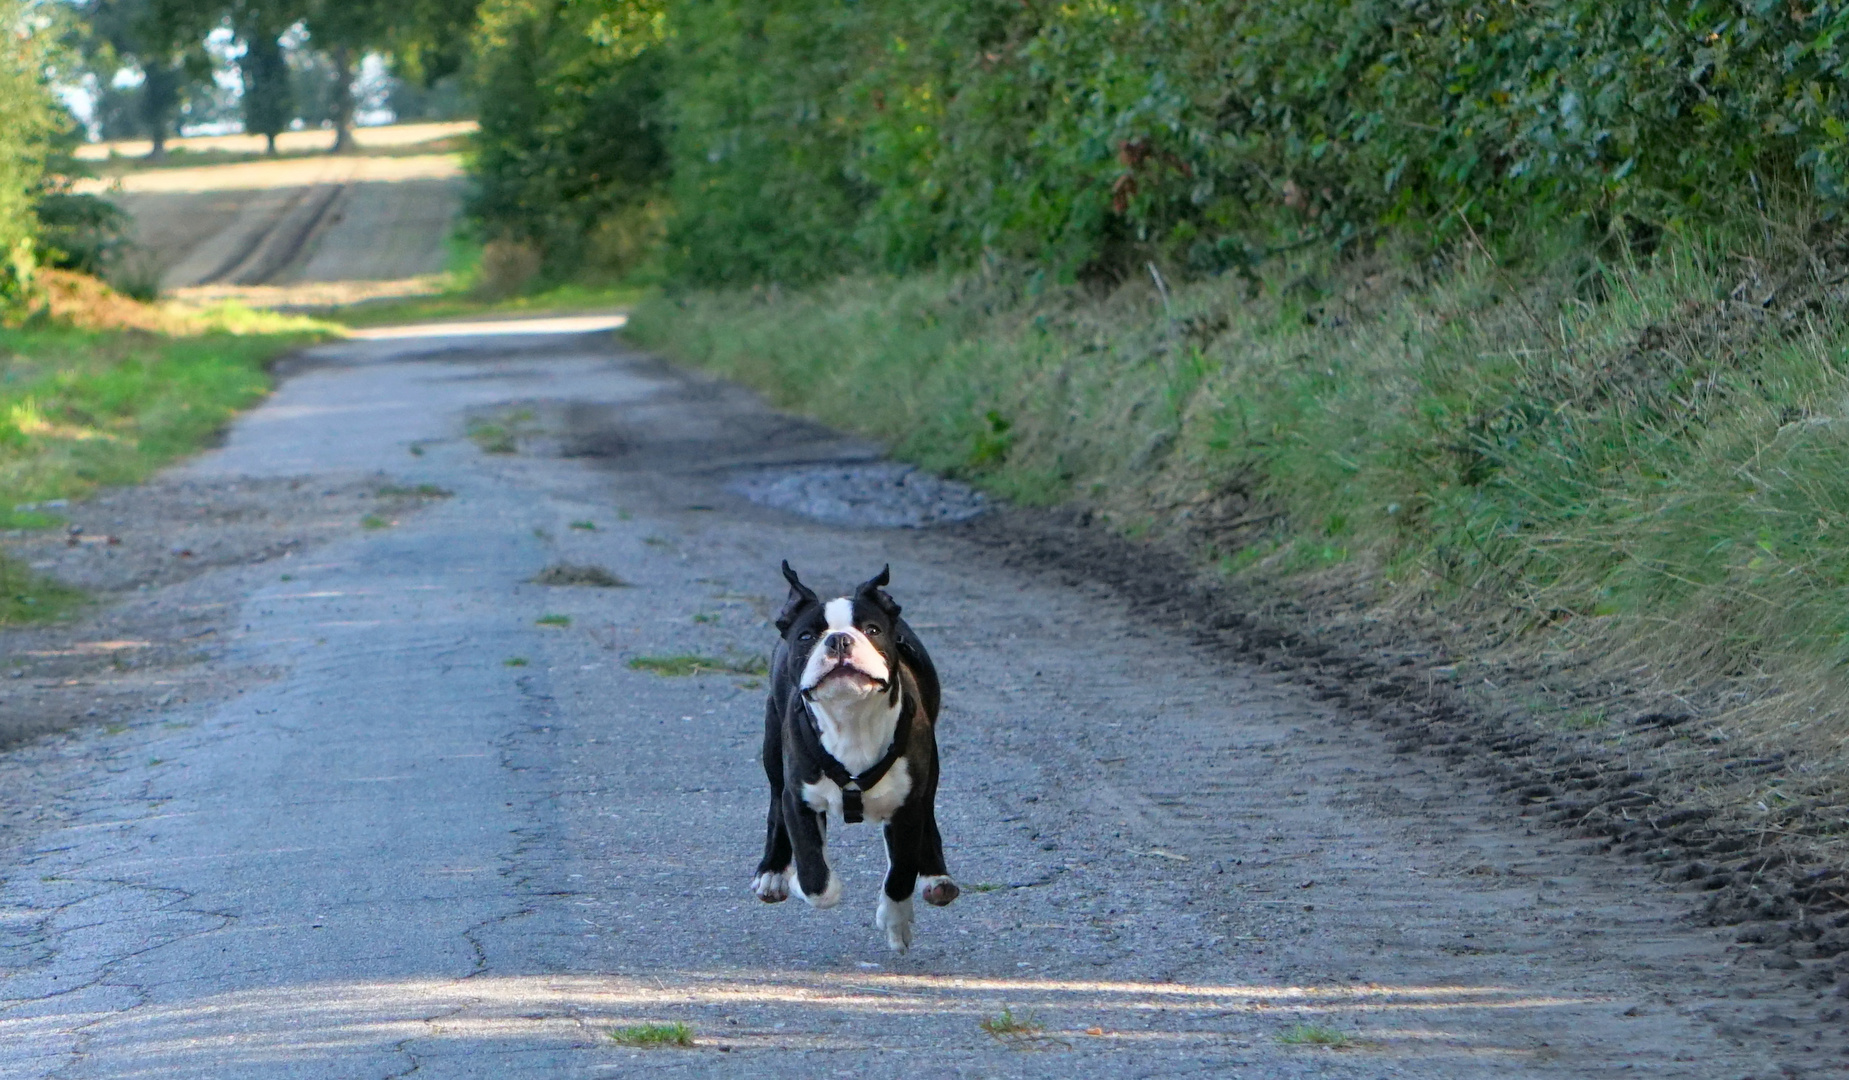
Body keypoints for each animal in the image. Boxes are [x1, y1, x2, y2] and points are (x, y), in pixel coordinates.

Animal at [750, 562, 961, 946]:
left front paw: (895, 920)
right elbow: (816, 881)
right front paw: (800, 882)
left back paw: (937, 878)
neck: (852, 719)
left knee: (929, 818)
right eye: (807, 636)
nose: (839, 639)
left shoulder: (907, 805)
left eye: (872, 630)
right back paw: (772, 872)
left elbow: (901, 872)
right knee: (774, 802)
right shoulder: (799, 799)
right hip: (772, 745)